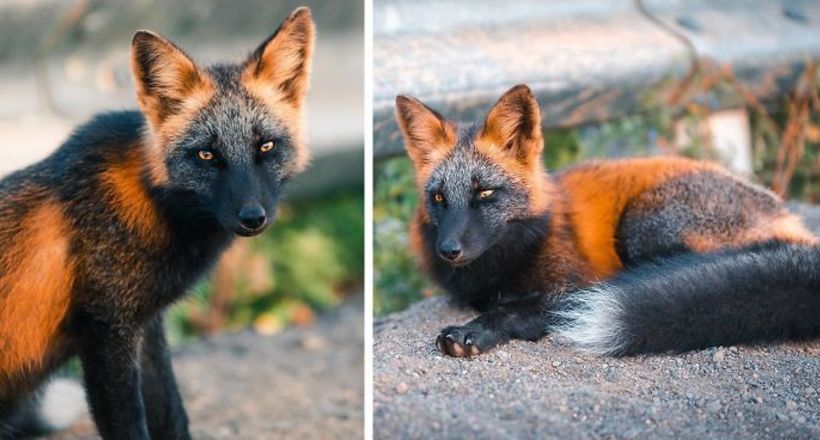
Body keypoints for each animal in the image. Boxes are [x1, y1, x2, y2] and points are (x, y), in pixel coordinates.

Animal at [0, 7, 314, 440]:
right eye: (206, 155)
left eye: (265, 146)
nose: (253, 218)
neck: (152, 203)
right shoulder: (106, 333)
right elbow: (131, 425)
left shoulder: (146, 327)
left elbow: (172, 414)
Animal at [396, 84, 820, 360]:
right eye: (439, 198)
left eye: (484, 193)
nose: (449, 250)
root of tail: (789, 218)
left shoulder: (573, 286)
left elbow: (512, 310)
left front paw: (475, 330)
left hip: (643, 224)